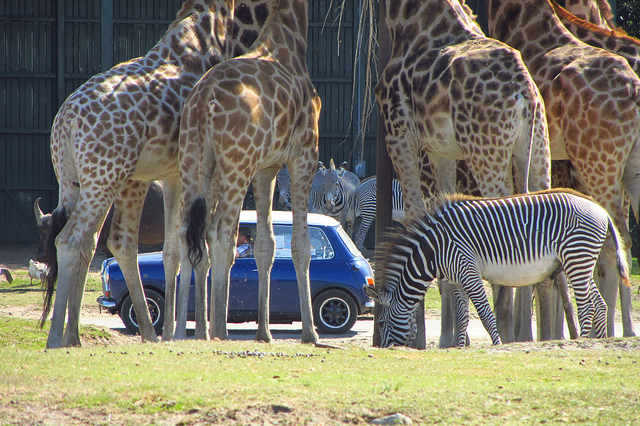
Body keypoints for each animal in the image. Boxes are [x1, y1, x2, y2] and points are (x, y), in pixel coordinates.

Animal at [38, 0, 268, 348]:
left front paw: (175, 332)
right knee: (76, 239)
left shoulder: (172, 173)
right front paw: (197, 331)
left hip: (76, 179)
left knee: (92, 241)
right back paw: (58, 338)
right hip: (106, 178)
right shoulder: (203, 171)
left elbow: (172, 250)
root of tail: (67, 121)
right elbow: (202, 243)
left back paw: (78, 336)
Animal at [174, 0, 320, 342]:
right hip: (235, 165)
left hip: (192, 161)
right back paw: (218, 331)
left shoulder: (266, 168)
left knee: (189, 232)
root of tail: (204, 101)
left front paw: (264, 332)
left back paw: (187, 332)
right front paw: (311, 333)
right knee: (219, 232)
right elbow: (300, 244)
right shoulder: (304, 155)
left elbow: (266, 245)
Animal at [376, 0, 552, 346]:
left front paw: (423, 338)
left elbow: (417, 217)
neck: (407, 21)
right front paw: (450, 337)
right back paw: (535, 335)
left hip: (487, 151)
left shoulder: (399, 136)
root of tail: (524, 92)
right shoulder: (440, 151)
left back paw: (508, 331)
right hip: (537, 148)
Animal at [484, 0, 640, 340]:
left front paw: (528, 333)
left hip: (598, 163)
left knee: (616, 243)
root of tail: (635, 91)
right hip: (627, 169)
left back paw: (605, 331)